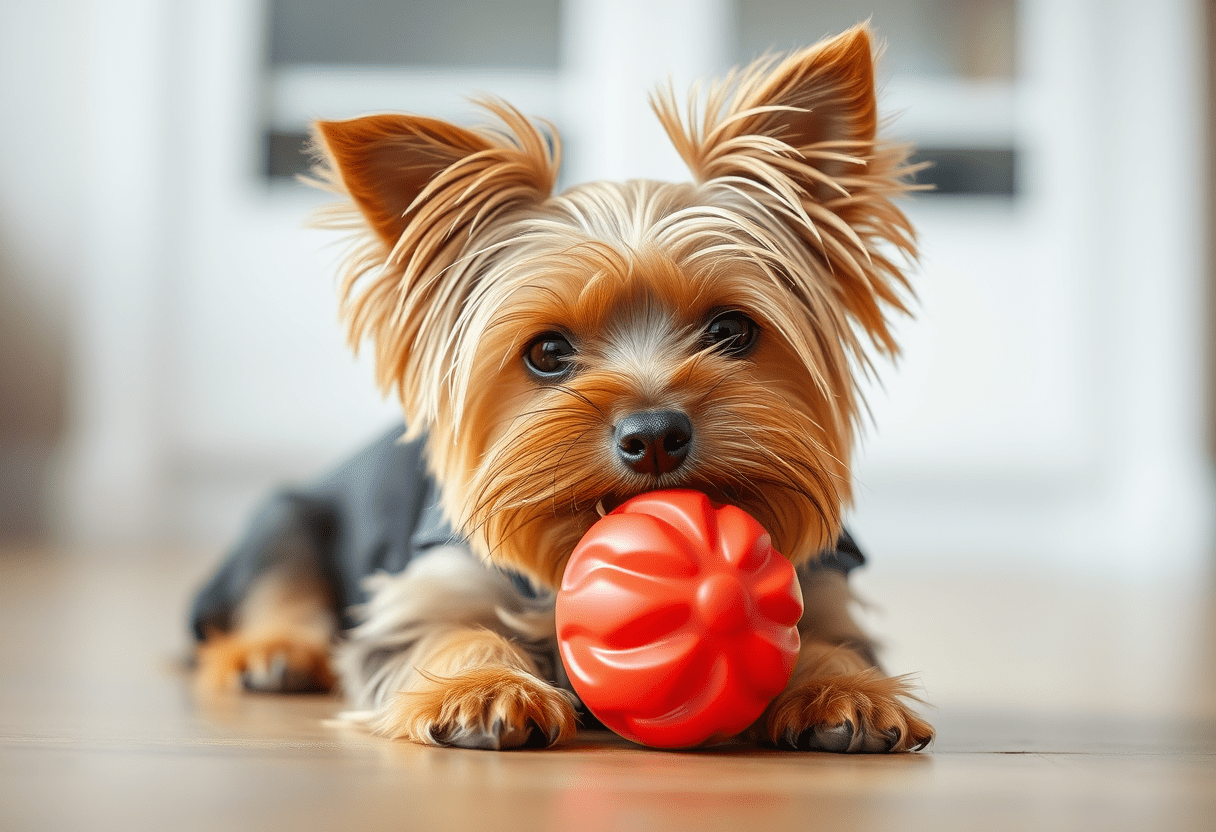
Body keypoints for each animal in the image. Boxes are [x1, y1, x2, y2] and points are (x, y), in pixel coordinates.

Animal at [187, 24, 929, 754]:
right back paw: (274, 656)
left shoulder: (826, 587)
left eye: (731, 330)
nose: (654, 435)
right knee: (278, 586)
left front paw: (846, 691)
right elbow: (445, 632)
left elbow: (832, 642)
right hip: (285, 518)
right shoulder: (424, 591)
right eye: (547, 352)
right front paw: (481, 689)